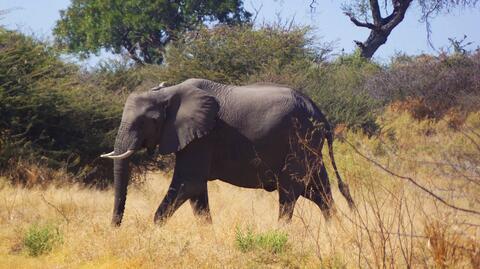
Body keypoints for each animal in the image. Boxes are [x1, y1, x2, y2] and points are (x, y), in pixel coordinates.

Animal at [101, 78, 354, 226]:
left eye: (148, 121)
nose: (115, 228)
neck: (168, 92)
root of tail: (321, 115)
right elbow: (197, 192)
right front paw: (207, 234)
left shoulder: (203, 136)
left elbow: (188, 183)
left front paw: (155, 229)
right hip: (308, 146)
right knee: (318, 191)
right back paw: (335, 229)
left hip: (300, 138)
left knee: (291, 190)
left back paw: (282, 231)